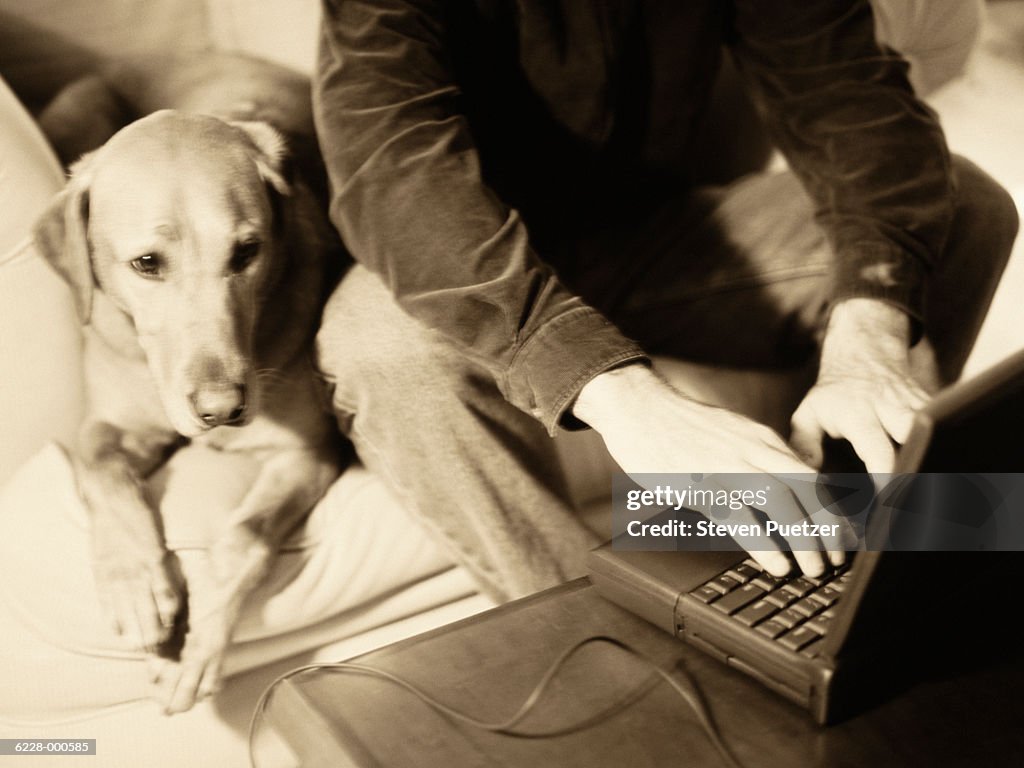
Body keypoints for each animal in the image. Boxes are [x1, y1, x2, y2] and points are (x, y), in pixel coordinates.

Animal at [32, 54, 348, 716]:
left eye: (248, 251)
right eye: (147, 264)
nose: (222, 409)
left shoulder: (308, 451)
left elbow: (246, 536)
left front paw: (199, 646)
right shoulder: (109, 426)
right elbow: (102, 470)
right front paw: (135, 584)